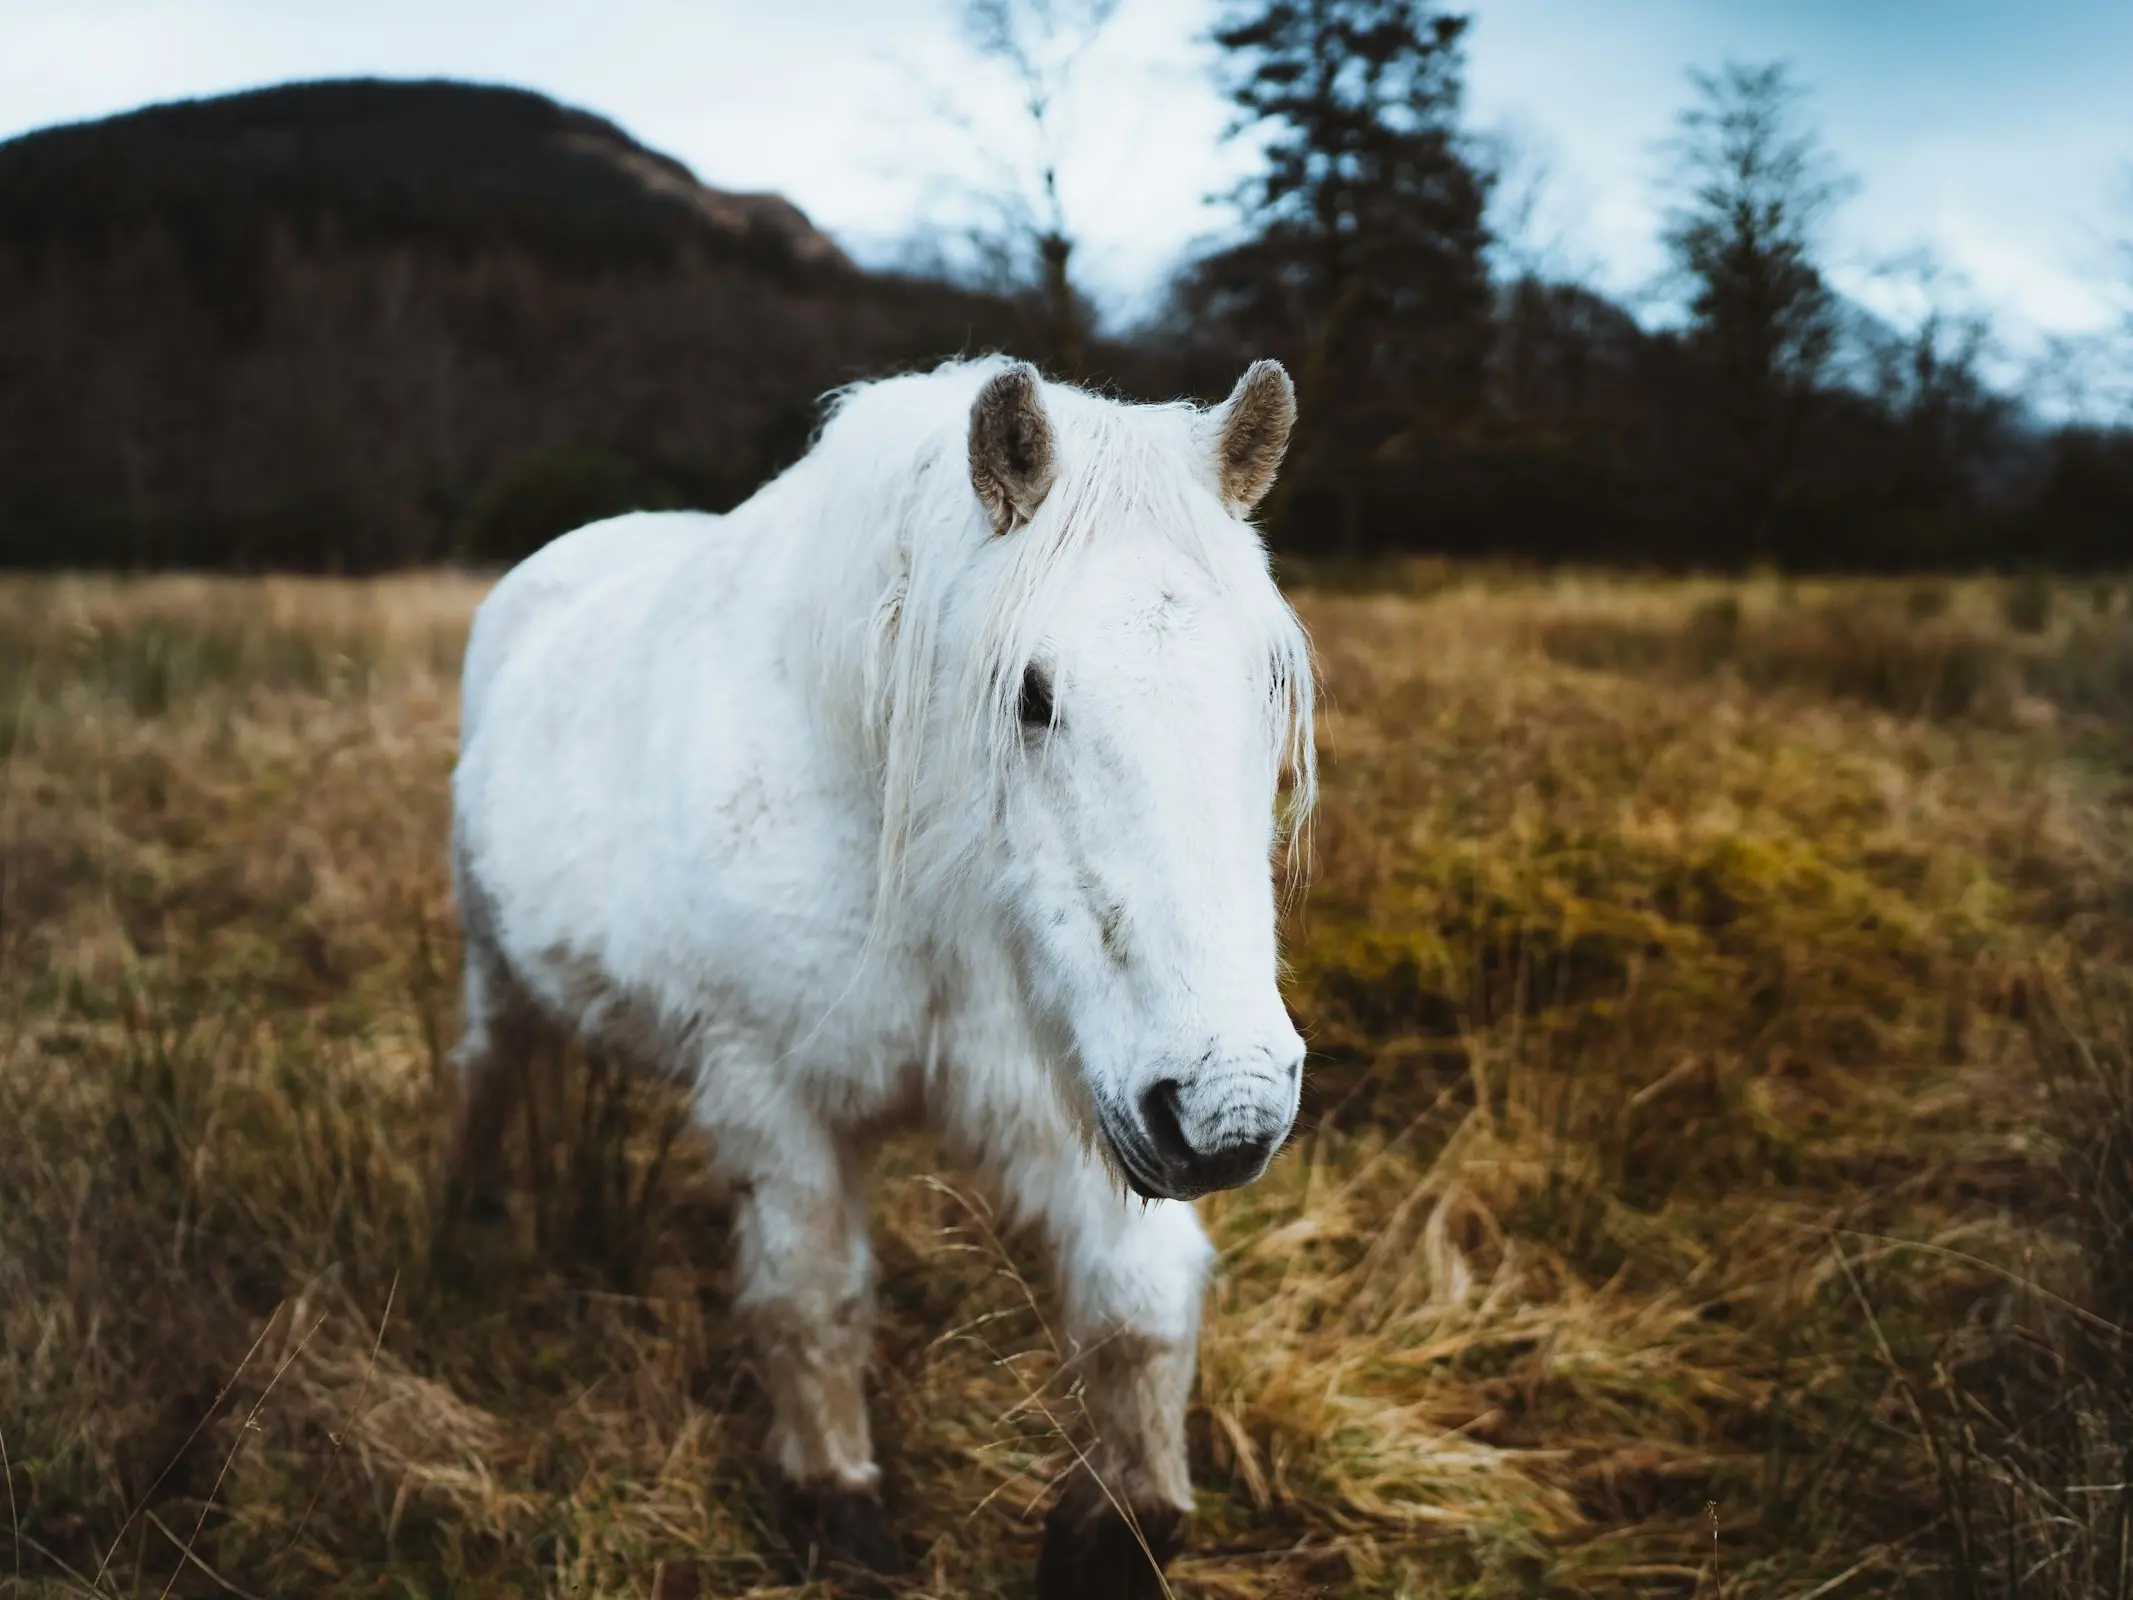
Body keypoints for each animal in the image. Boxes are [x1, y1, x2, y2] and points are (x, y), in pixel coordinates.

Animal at [450, 356, 1313, 1595]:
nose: (1231, 1110)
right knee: (486, 1071)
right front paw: (836, 1504)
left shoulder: (1078, 1087)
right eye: (1031, 694)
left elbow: (1137, 1309)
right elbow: (812, 1301)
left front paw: (1119, 1527)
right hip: (491, 965)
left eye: (1269, 683)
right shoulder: (776, 1100)